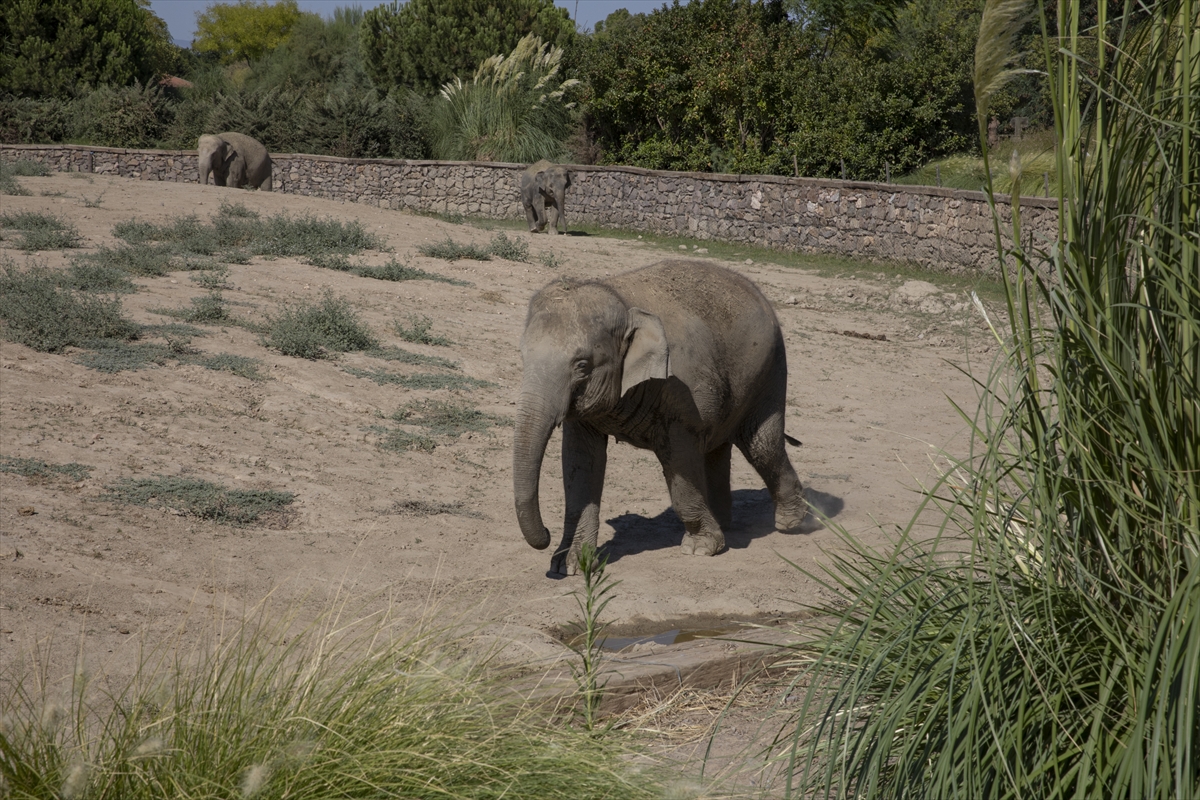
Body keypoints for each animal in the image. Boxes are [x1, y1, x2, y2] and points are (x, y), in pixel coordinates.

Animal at [513, 257, 806, 575]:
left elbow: (678, 460)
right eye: (522, 355)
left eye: (582, 365)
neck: (622, 301)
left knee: (762, 445)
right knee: (717, 447)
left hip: (771, 369)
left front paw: (702, 548)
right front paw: (569, 565)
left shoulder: (681, 393)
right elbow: (581, 462)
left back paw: (792, 523)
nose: (545, 534)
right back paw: (726, 523)